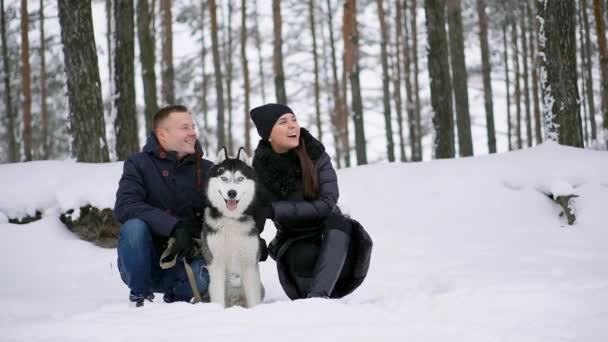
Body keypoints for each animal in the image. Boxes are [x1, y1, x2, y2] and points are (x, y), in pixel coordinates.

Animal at [202, 147, 264, 308]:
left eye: (240, 179)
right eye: (223, 178)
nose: (232, 193)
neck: (231, 220)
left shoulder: (250, 264)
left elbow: (254, 299)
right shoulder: (216, 264)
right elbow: (218, 297)